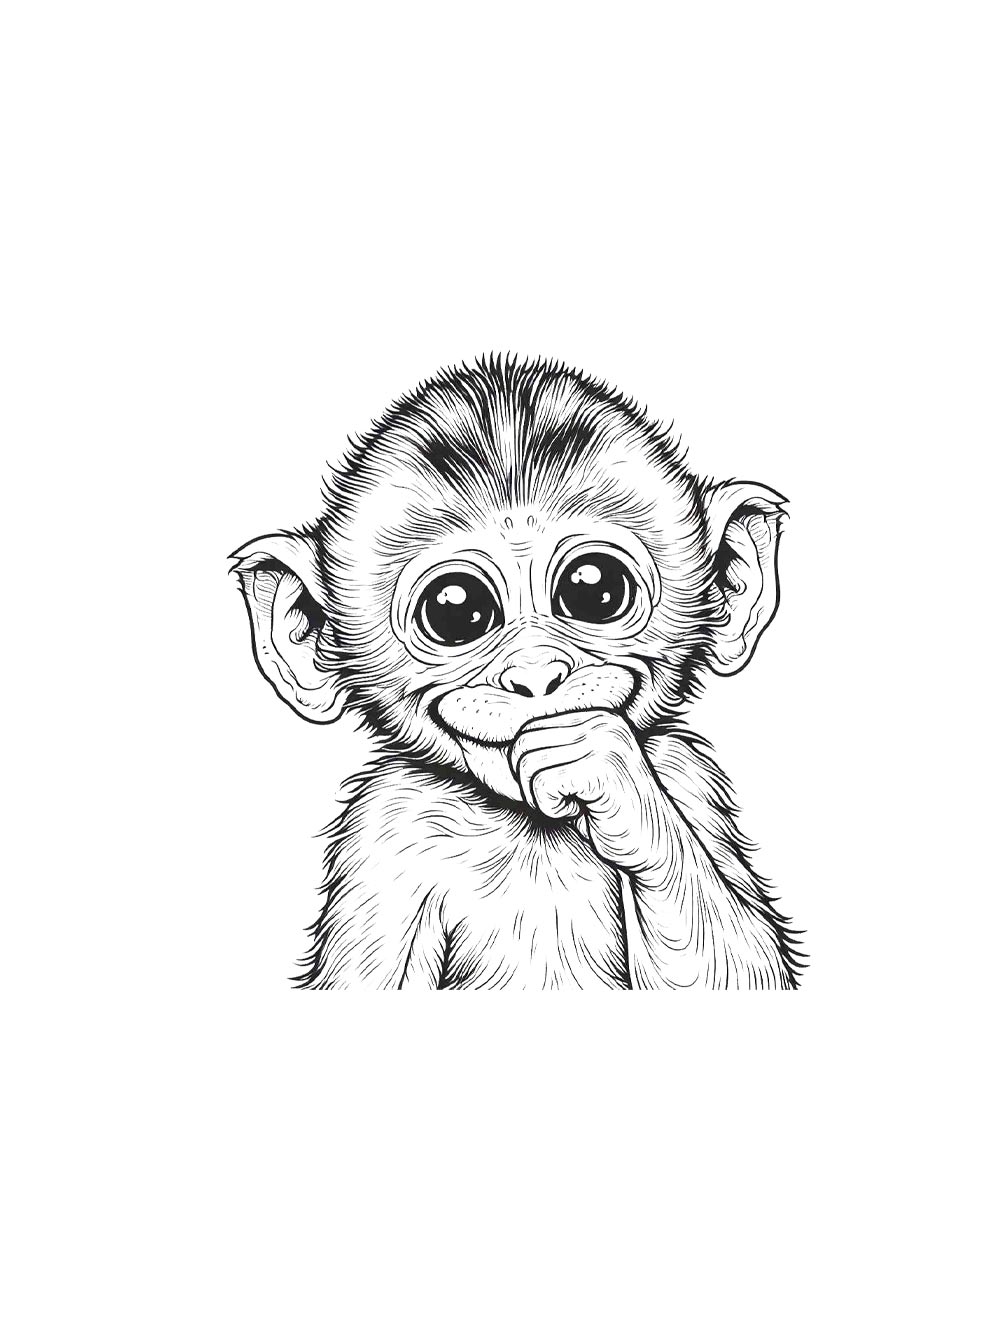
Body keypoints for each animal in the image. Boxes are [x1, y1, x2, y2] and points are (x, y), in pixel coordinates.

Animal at [231, 356, 805, 989]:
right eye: (454, 609)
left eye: (595, 589)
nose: (536, 675)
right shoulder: (386, 832)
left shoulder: (687, 780)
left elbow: (742, 967)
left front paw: (604, 774)